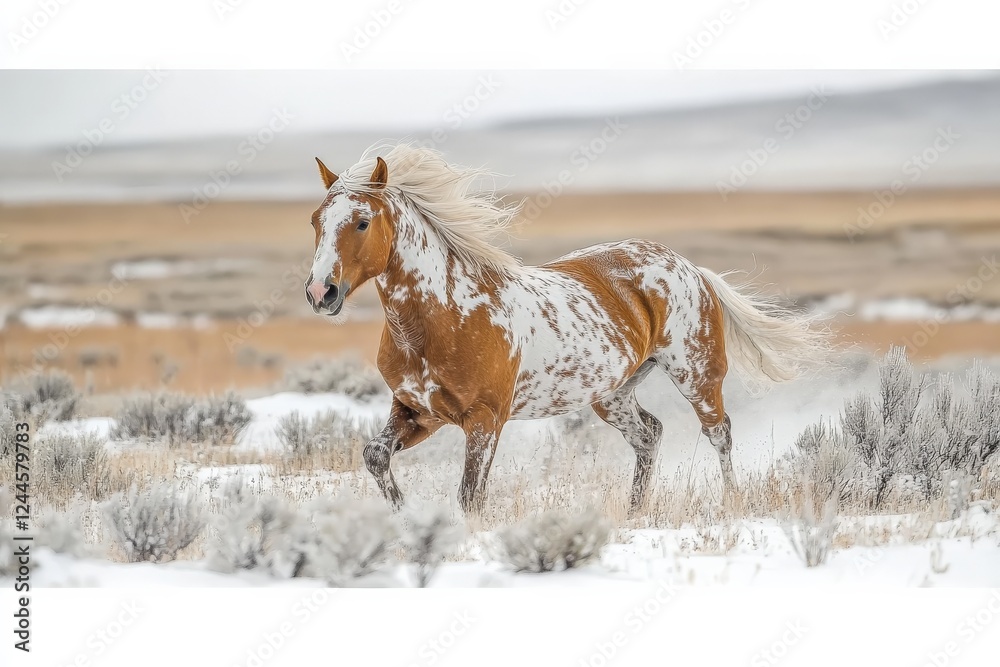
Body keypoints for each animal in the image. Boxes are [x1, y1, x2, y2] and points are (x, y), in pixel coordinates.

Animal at [304, 143, 827, 515]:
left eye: (362, 221)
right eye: (315, 221)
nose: (320, 292)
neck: (442, 317)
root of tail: (691, 268)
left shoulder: (484, 421)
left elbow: (471, 497)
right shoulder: (418, 412)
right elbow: (375, 455)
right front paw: (405, 516)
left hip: (696, 376)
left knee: (719, 434)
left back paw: (731, 503)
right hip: (612, 395)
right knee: (649, 434)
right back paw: (633, 514)